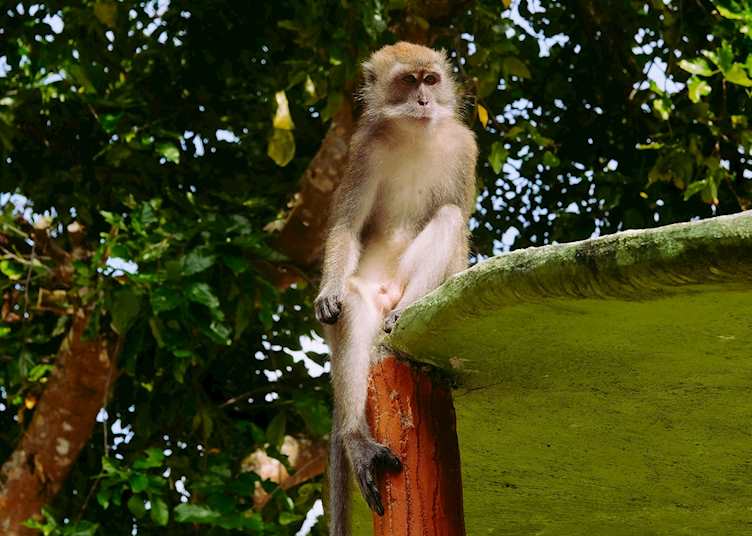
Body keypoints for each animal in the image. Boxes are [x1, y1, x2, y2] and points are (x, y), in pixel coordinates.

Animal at [314, 42, 477, 535]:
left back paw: (402, 315)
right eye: (408, 81)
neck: (414, 135)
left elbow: (458, 217)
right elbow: (347, 226)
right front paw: (326, 292)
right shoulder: (363, 150)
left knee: (448, 217)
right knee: (352, 311)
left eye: (431, 80)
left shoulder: (465, 148)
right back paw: (356, 438)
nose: (424, 101)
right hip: (368, 291)